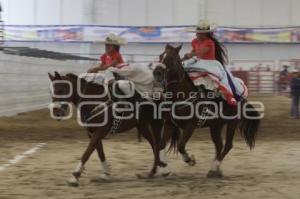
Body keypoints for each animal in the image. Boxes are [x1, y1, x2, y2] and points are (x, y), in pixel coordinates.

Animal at [152, 44, 260, 177]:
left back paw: (215, 167)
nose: (157, 72)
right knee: (219, 145)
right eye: (160, 56)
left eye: (171, 58)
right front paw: (164, 169)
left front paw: (190, 160)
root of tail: (241, 97)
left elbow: (181, 145)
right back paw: (215, 169)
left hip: (232, 123)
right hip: (216, 125)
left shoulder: (191, 125)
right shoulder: (169, 124)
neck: (181, 96)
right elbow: (161, 145)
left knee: (228, 145)